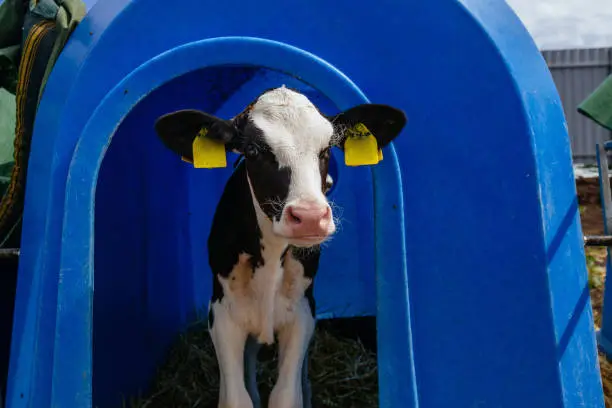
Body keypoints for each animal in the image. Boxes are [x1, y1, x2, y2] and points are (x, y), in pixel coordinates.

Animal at [153, 87, 406, 408]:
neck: (271, 257)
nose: (309, 216)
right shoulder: (222, 314)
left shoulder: (301, 313)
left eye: (326, 149)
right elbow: (237, 398)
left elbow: (285, 396)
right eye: (252, 151)